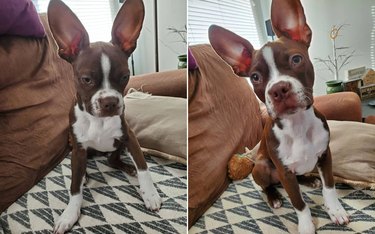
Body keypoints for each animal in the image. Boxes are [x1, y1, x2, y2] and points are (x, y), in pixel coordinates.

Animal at [48, 0, 162, 233]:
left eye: (125, 76)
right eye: (86, 79)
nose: (109, 102)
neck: (98, 121)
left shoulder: (130, 137)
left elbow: (144, 167)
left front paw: (150, 194)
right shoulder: (78, 148)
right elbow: (74, 188)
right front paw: (69, 214)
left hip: (117, 148)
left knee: (112, 160)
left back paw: (127, 168)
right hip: (76, 149)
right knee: (83, 169)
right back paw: (84, 176)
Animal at [210, 0, 352, 233]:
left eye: (296, 59)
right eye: (255, 77)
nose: (278, 89)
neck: (298, 125)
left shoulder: (325, 156)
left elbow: (329, 187)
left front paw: (335, 210)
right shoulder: (285, 173)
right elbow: (299, 203)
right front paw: (306, 226)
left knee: (301, 177)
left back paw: (309, 180)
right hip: (261, 168)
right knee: (267, 185)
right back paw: (274, 197)